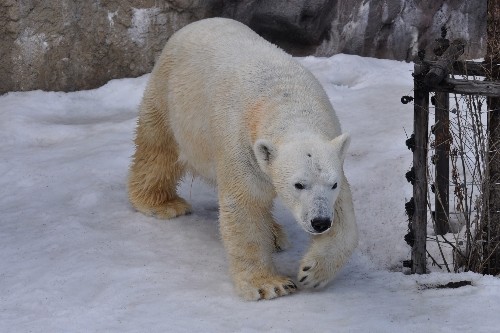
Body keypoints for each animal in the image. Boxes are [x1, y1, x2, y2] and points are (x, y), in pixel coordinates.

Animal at [127, 16, 358, 300]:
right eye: (298, 184)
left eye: (332, 184)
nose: (320, 222)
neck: (287, 105)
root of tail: (198, 23)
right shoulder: (239, 142)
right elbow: (245, 205)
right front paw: (270, 284)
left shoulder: (330, 147)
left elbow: (344, 213)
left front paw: (312, 273)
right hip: (170, 94)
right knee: (158, 148)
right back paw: (162, 203)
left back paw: (274, 235)